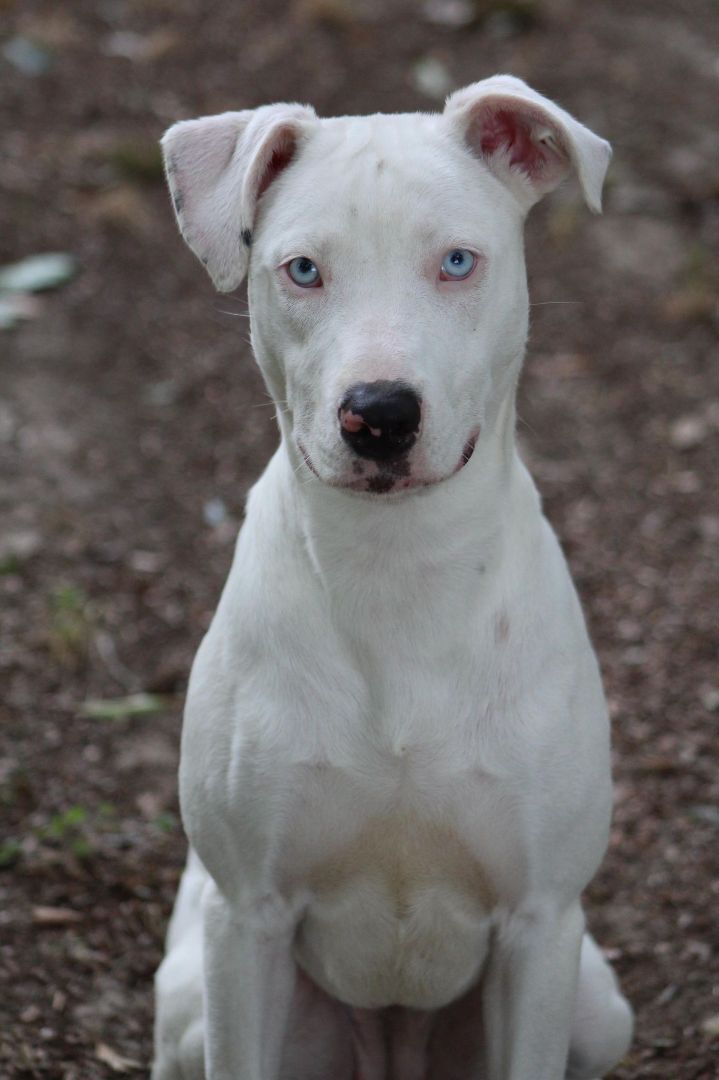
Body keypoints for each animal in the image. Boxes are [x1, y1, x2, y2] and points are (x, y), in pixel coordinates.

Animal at [152, 76, 634, 1080]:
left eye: (456, 261)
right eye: (302, 270)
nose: (378, 414)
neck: (396, 567)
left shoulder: (539, 927)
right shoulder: (246, 918)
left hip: (597, 1005)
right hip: (188, 999)